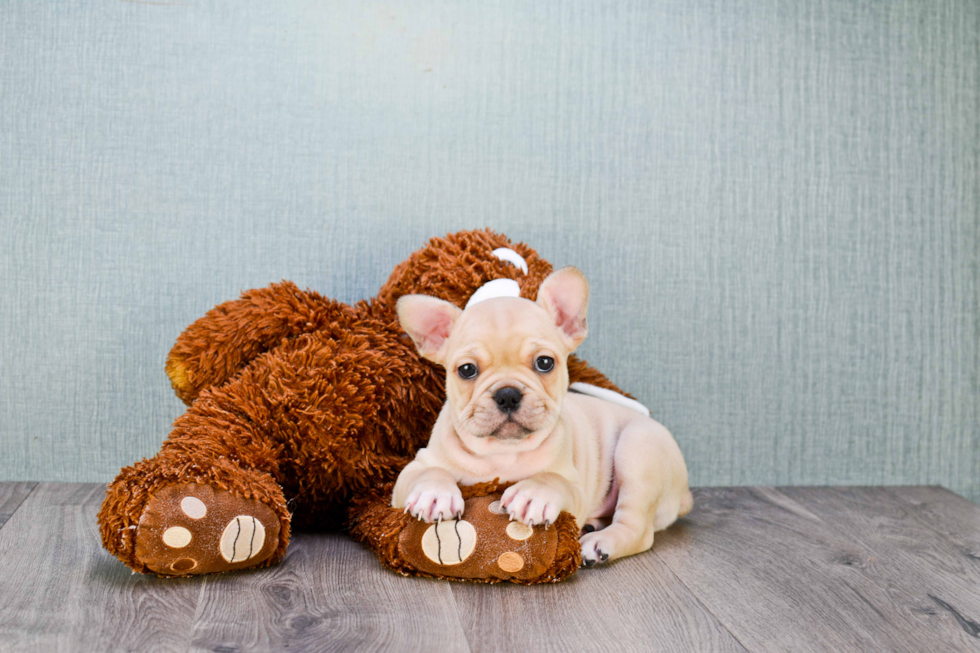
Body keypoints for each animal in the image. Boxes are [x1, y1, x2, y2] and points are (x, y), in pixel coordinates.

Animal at [386, 268, 692, 564]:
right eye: (467, 370)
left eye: (545, 363)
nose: (508, 394)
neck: (502, 451)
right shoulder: (415, 468)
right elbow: (430, 471)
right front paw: (434, 493)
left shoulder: (574, 487)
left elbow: (553, 479)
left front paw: (533, 493)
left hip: (637, 449)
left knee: (638, 529)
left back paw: (598, 545)